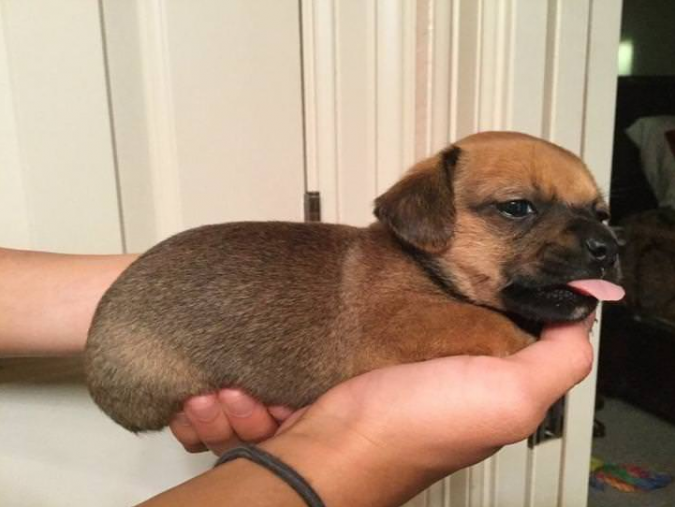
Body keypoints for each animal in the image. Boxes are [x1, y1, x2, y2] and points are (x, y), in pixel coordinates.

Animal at [84, 131, 623, 432]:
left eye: (601, 213)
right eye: (517, 208)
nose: (609, 247)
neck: (424, 266)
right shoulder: (407, 320)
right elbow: (482, 323)